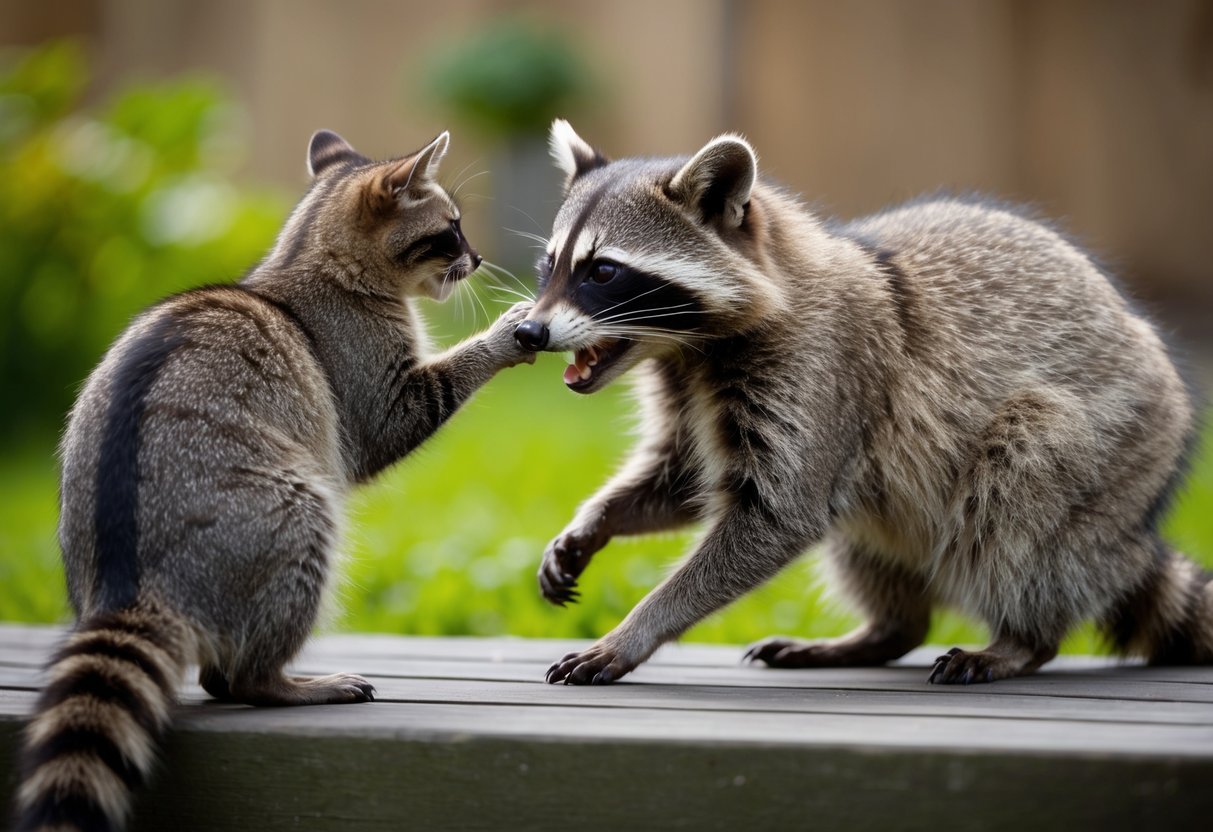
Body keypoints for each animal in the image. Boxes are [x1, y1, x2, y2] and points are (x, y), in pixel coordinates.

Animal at [13, 130, 533, 831]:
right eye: (451, 230)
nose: (477, 259)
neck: (310, 254)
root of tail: (134, 586)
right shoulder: (354, 366)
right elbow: (398, 418)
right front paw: (498, 339)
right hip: (282, 514)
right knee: (250, 652)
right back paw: (277, 681)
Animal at [515, 119, 1209, 687]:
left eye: (603, 271)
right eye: (550, 265)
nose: (528, 332)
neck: (688, 351)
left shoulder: (821, 369)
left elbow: (779, 515)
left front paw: (638, 628)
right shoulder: (690, 392)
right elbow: (682, 478)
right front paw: (597, 519)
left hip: (1116, 439)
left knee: (1017, 486)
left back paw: (1023, 639)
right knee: (872, 530)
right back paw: (885, 631)